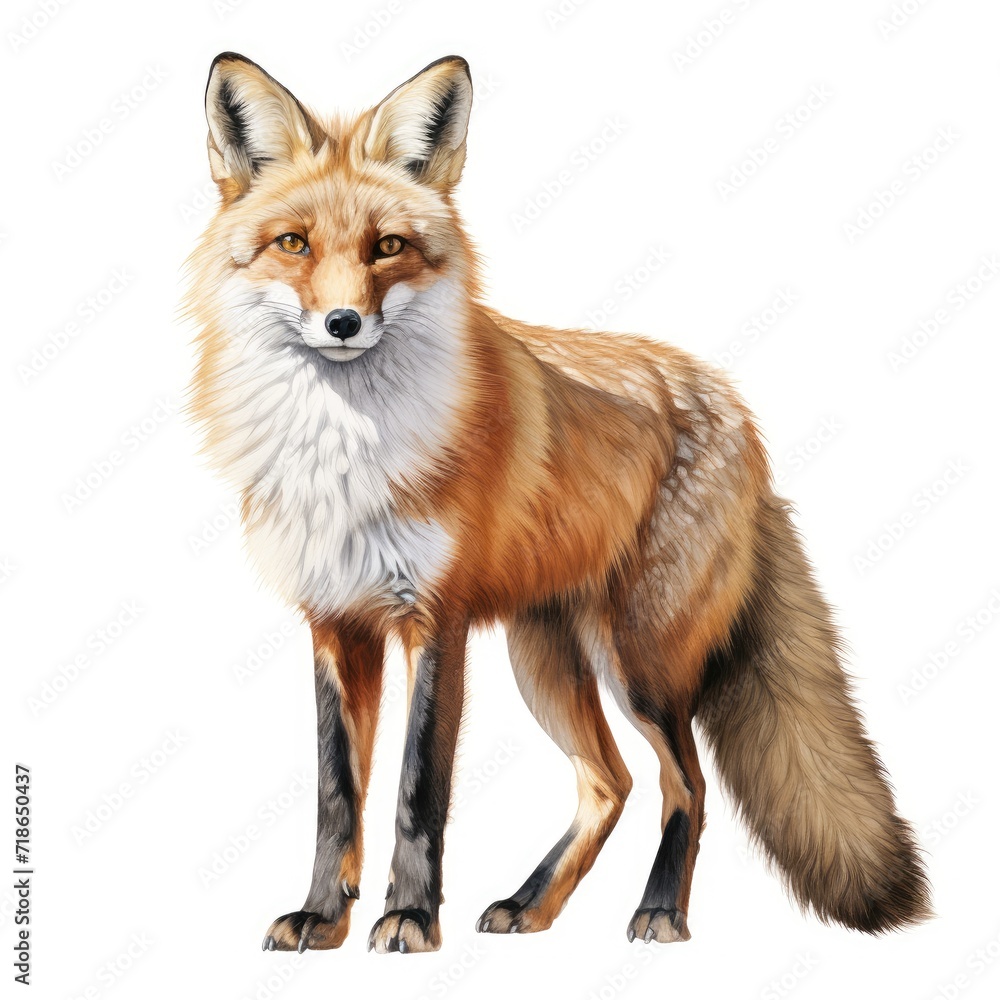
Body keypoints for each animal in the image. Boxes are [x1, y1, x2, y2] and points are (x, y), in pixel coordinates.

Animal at [185, 52, 932, 955]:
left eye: (389, 247)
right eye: (293, 244)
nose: (342, 322)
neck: (344, 453)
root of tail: (736, 414)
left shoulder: (435, 620)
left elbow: (416, 791)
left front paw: (410, 917)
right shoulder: (336, 623)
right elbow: (338, 795)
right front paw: (323, 917)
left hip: (640, 663)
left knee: (684, 783)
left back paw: (659, 912)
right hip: (543, 658)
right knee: (609, 782)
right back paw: (530, 904)